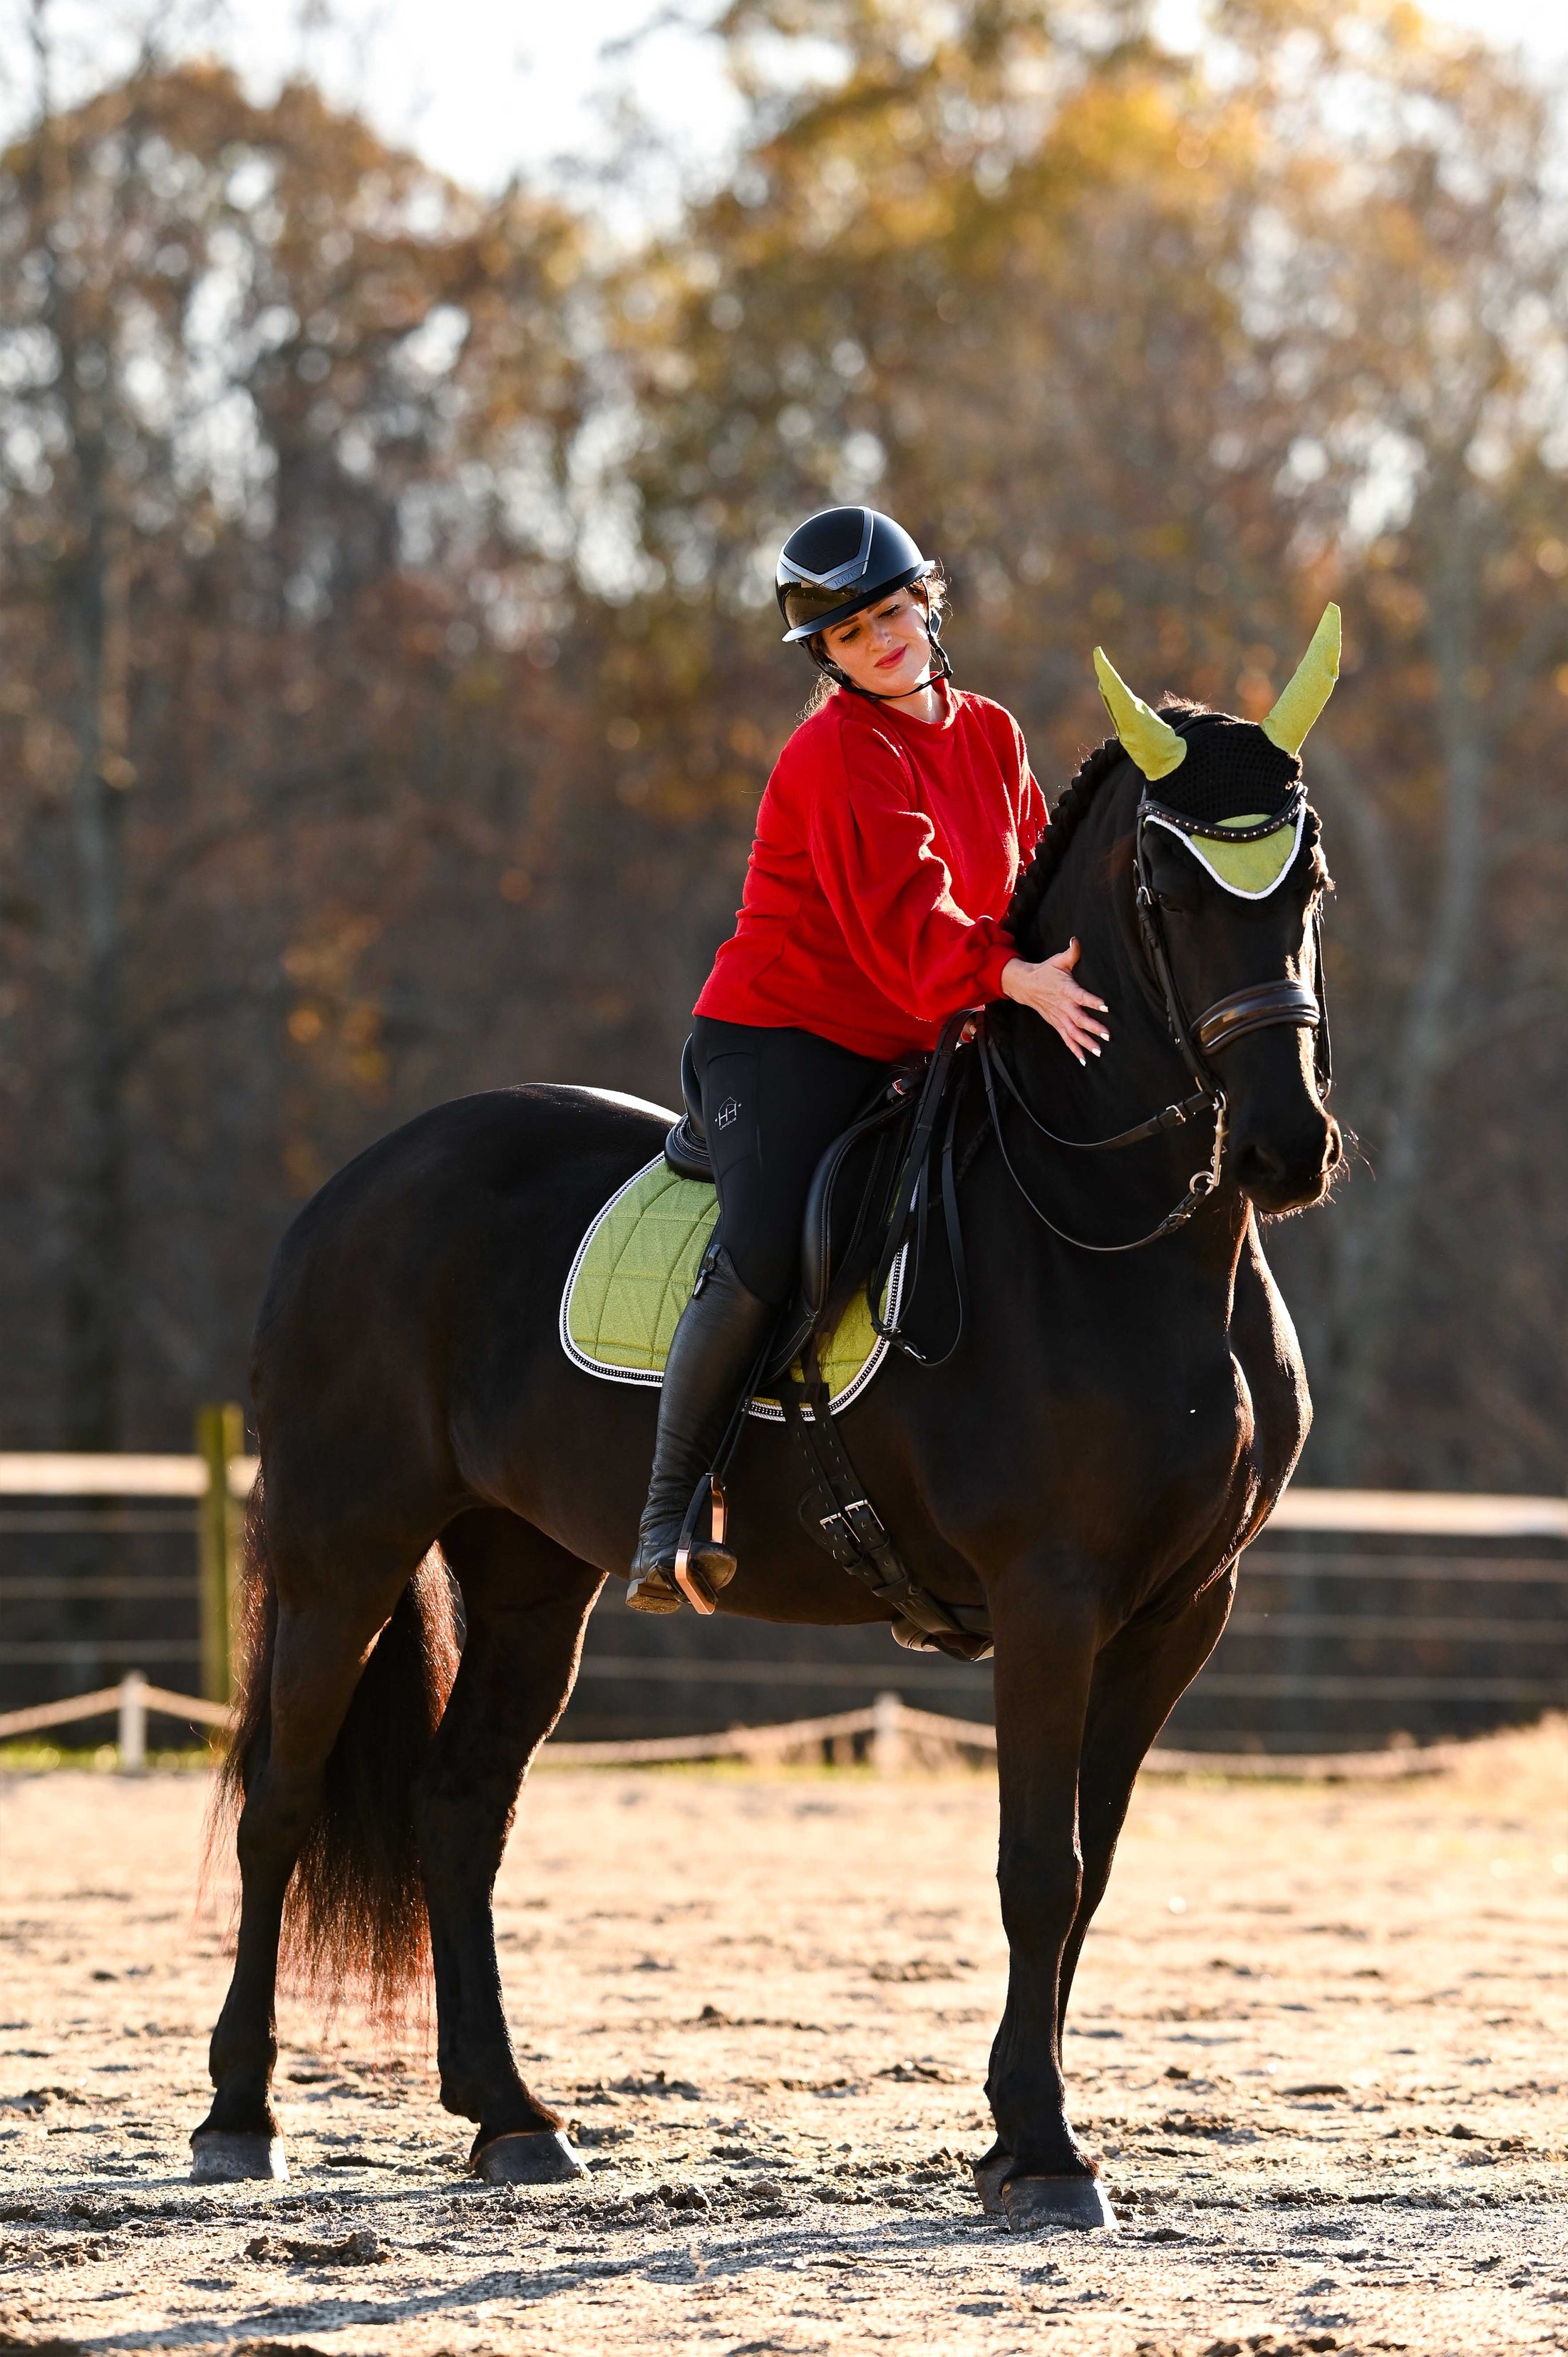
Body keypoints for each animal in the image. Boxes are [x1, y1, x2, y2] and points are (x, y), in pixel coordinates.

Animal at [195, 668, 1341, 2232]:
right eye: (1167, 890)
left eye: (1309, 882)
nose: (1286, 1149)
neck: (1116, 1238)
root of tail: (358, 1185)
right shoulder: (1051, 1598)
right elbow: (1036, 1868)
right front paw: (1042, 2149)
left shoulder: (1179, 1612)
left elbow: (1092, 1869)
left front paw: (1017, 2130)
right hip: (342, 1551)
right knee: (284, 1802)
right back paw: (238, 2116)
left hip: (529, 1576)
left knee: (458, 1810)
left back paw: (511, 2118)